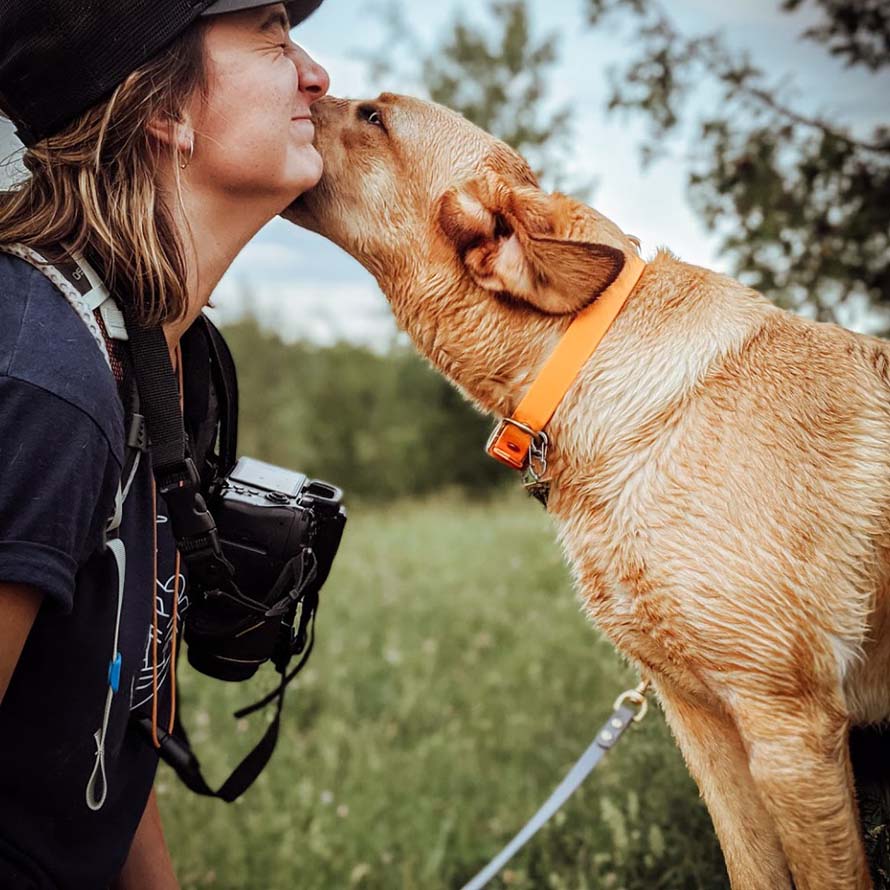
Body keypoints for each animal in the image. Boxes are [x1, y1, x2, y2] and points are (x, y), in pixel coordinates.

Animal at [282, 92, 888, 888]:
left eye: (374, 117)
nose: (298, 85)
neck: (582, 362)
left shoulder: (788, 724)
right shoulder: (703, 721)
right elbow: (751, 868)